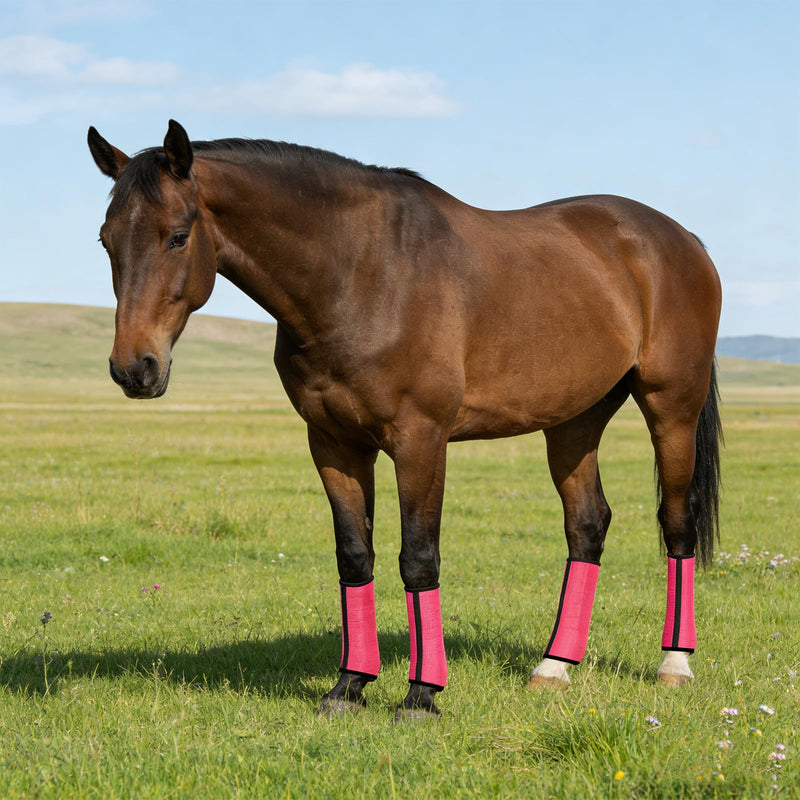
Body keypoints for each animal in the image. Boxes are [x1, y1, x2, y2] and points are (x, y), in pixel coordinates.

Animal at [88, 120, 722, 721]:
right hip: (574, 420)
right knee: (587, 525)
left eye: (177, 236)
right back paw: (553, 667)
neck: (360, 275)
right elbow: (354, 556)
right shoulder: (334, 443)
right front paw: (349, 686)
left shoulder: (421, 441)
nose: (134, 368)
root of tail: (681, 239)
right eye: (106, 240)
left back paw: (674, 664)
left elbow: (419, 559)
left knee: (676, 522)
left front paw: (421, 696)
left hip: (671, 408)